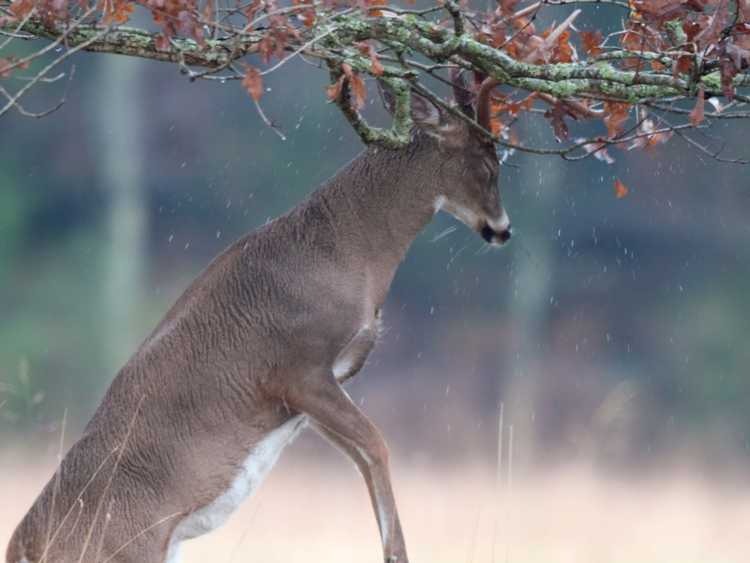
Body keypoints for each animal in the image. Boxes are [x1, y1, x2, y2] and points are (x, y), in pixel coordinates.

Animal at [5, 75, 512, 563]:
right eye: (489, 163)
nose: (503, 229)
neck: (349, 250)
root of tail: (23, 546)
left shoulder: (315, 390)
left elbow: (361, 454)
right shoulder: (298, 368)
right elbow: (376, 445)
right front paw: (395, 553)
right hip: (125, 549)